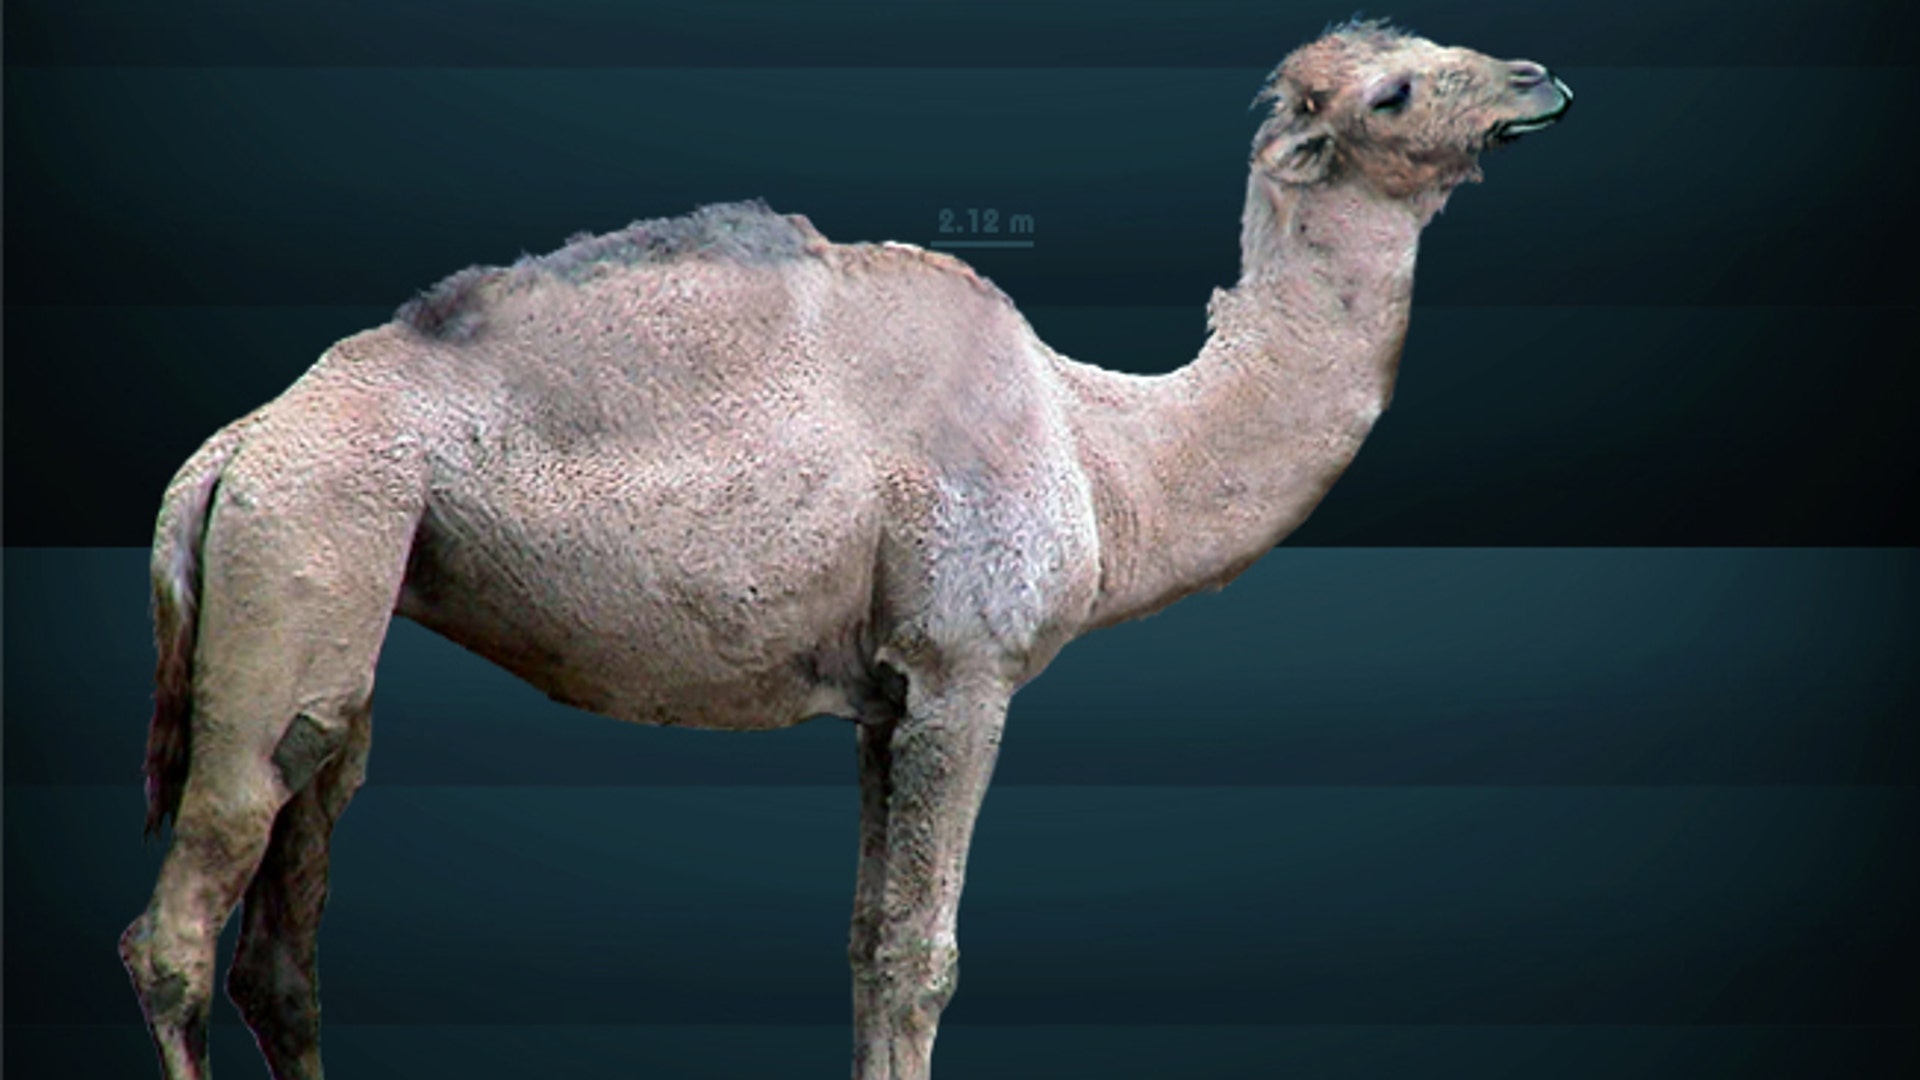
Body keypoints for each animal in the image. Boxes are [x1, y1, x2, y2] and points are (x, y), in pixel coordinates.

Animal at [118, 18, 1569, 1080]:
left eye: (1439, 45)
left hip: (344, 584)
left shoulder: (887, 694)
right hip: (305, 540)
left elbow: (869, 941)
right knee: (184, 914)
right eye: (1394, 91)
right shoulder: (965, 671)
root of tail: (228, 453)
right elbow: (923, 955)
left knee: (285, 927)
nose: (1539, 77)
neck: (1101, 448)